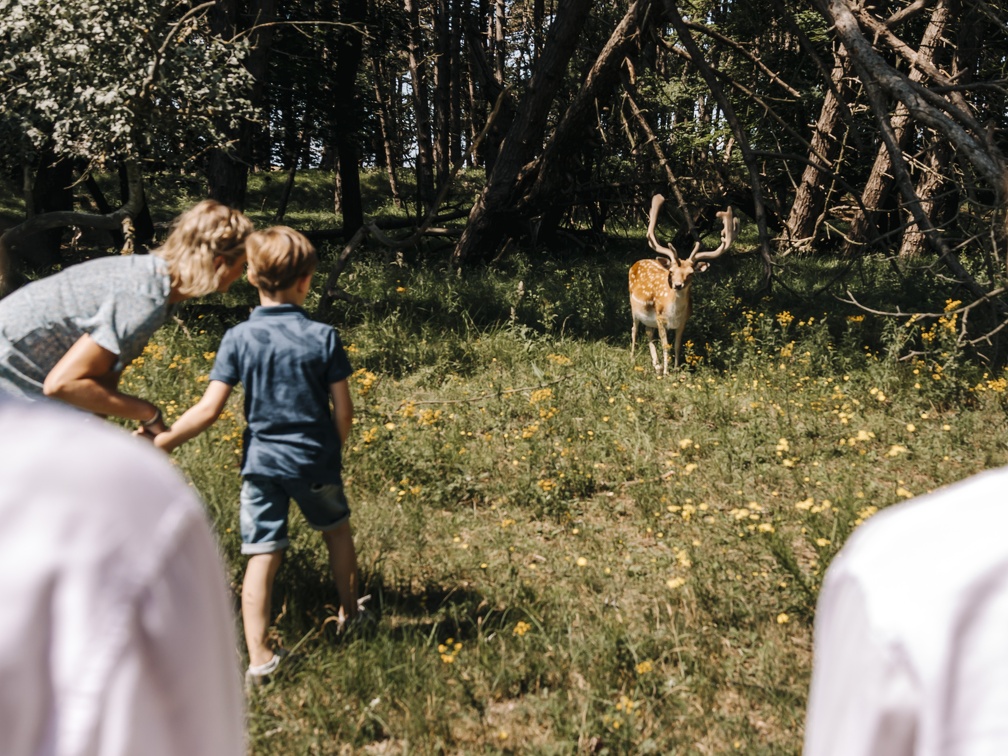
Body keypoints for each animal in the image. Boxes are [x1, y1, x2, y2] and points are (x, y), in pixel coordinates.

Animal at [628, 193, 741, 374]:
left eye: (691, 274)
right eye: (671, 272)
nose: (677, 285)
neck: (674, 313)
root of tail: (636, 262)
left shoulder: (683, 322)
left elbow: (677, 345)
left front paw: (675, 369)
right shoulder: (660, 318)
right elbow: (665, 346)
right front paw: (667, 373)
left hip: (649, 319)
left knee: (648, 332)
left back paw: (656, 364)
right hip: (634, 307)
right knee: (634, 329)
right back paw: (633, 359)